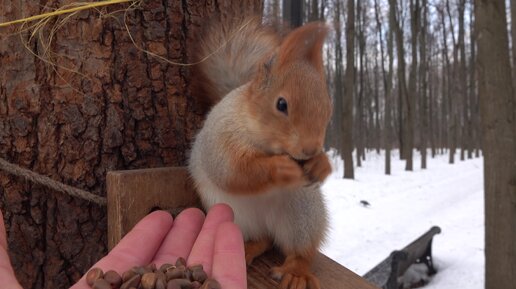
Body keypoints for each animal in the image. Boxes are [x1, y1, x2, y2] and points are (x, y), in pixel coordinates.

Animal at [188, 16, 330, 288]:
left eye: (328, 107)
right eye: (281, 104)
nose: (310, 150)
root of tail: (268, 223)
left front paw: (321, 165)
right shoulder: (221, 139)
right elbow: (233, 171)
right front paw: (281, 168)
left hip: (302, 213)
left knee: (299, 251)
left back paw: (296, 273)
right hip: (235, 215)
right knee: (262, 239)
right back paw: (248, 247)